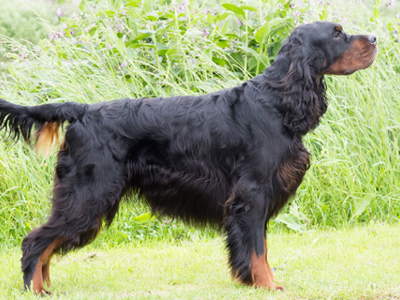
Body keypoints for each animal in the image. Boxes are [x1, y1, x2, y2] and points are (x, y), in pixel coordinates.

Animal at [0, 22, 376, 294]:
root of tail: (82, 112)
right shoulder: (251, 195)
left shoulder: (257, 198)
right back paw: (34, 289)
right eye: (337, 33)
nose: (374, 37)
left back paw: (45, 287)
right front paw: (268, 285)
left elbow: (261, 248)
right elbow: (258, 249)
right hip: (89, 194)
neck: (277, 101)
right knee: (36, 241)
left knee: (47, 243)